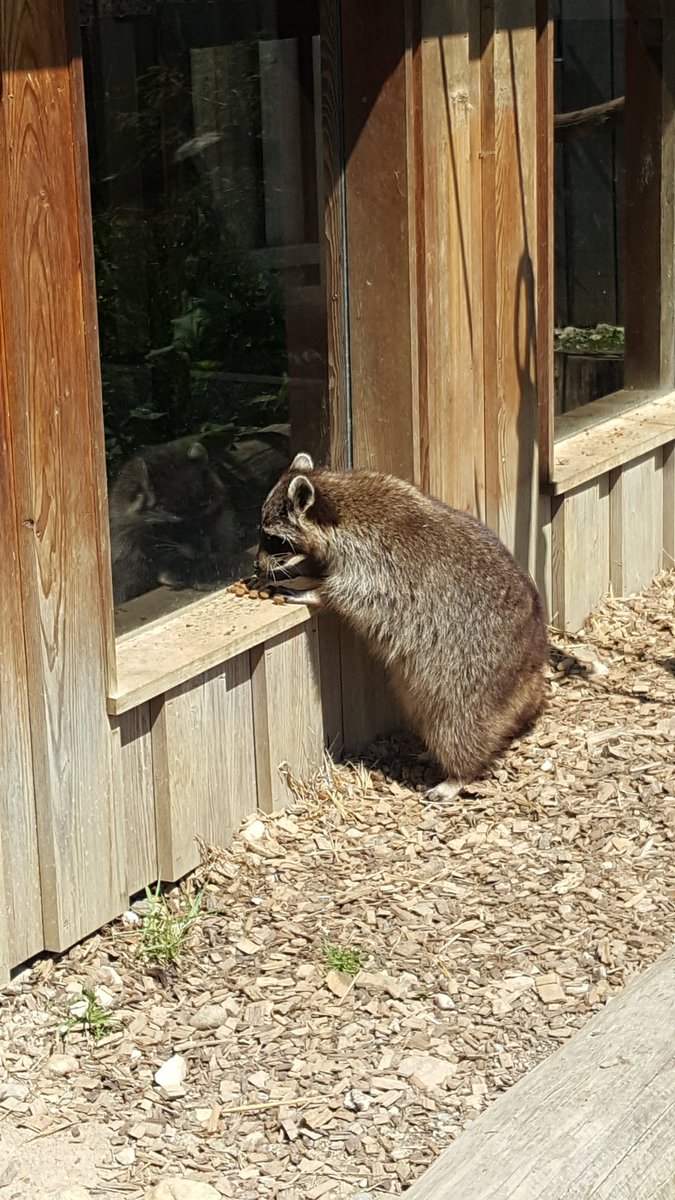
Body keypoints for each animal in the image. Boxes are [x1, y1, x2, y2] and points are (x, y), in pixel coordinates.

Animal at [256, 453, 549, 802]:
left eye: (272, 539)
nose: (257, 565)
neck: (338, 498)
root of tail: (532, 663)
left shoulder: (379, 562)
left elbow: (356, 593)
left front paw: (314, 591)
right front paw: (307, 576)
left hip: (474, 673)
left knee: (458, 722)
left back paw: (459, 773)